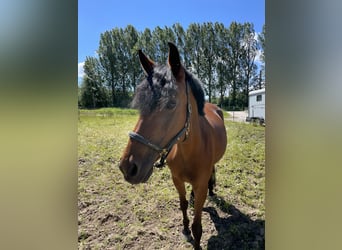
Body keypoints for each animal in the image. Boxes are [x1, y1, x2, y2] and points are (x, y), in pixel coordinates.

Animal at [119, 42, 228, 249]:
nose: (128, 167)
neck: (189, 151)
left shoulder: (201, 184)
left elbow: (197, 226)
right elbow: (183, 204)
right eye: (141, 105)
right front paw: (185, 229)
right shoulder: (176, 180)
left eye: (171, 104)